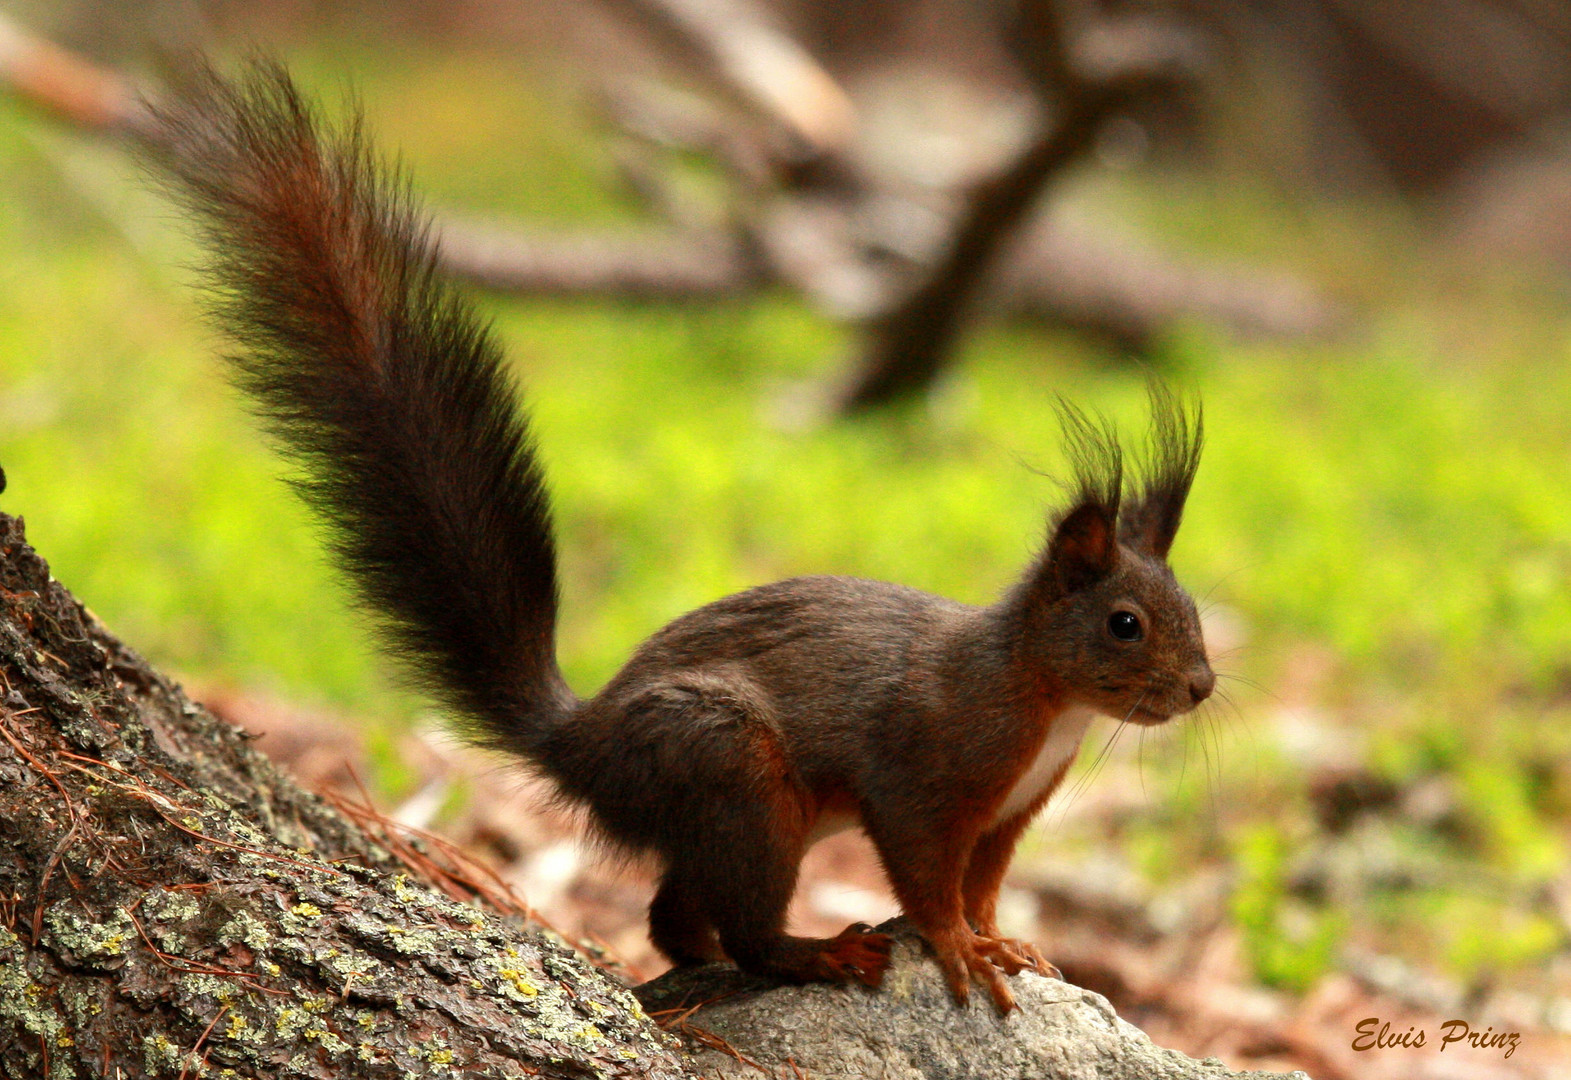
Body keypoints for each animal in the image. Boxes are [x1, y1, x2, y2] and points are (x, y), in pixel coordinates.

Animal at [147, 65, 1212, 1012]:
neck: (1043, 695)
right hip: (735, 777)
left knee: (670, 912)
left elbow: (985, 882)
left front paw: (1002, 940)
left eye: (1193, 612)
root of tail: (582, 744)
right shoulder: (926, 771)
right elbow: (923, 873)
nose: (1201, 688)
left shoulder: (1007, 813)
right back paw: (813, 955)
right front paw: (955, 946)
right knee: (739, 922)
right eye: (1123, 623)